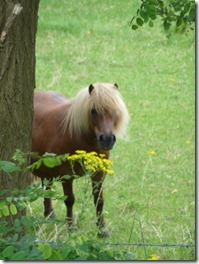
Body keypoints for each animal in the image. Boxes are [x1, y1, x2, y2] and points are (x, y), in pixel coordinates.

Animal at [31, 83, 129, 237]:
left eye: (114, 110)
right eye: (93, 111)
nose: (107, 139)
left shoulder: (98, 174)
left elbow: (99, 200)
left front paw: (102, 229)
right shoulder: (67, 175)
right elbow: (70, 200)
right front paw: (71, 228)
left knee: (46, 187)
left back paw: (50, 215)